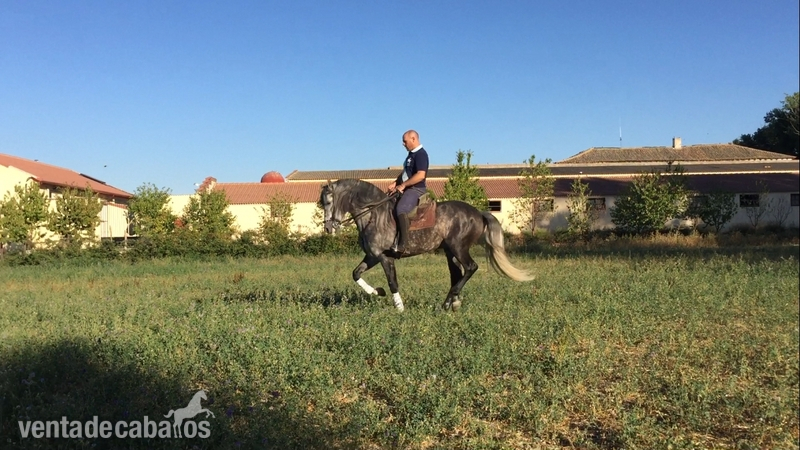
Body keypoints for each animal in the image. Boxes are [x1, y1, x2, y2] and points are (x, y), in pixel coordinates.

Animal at [320, 179, 533, 311]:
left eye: (329, 201)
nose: (329, 228)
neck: (373, 215)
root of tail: (479, 213)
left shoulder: (384, 257)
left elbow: (392, 282)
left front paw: (399, 307)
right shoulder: (372, 256)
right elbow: (356, 274)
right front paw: (377, 292)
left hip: (458, 247)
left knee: (470, 267)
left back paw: (448, 302)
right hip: (450, 251)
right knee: (457, 274)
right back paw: (451, 303)